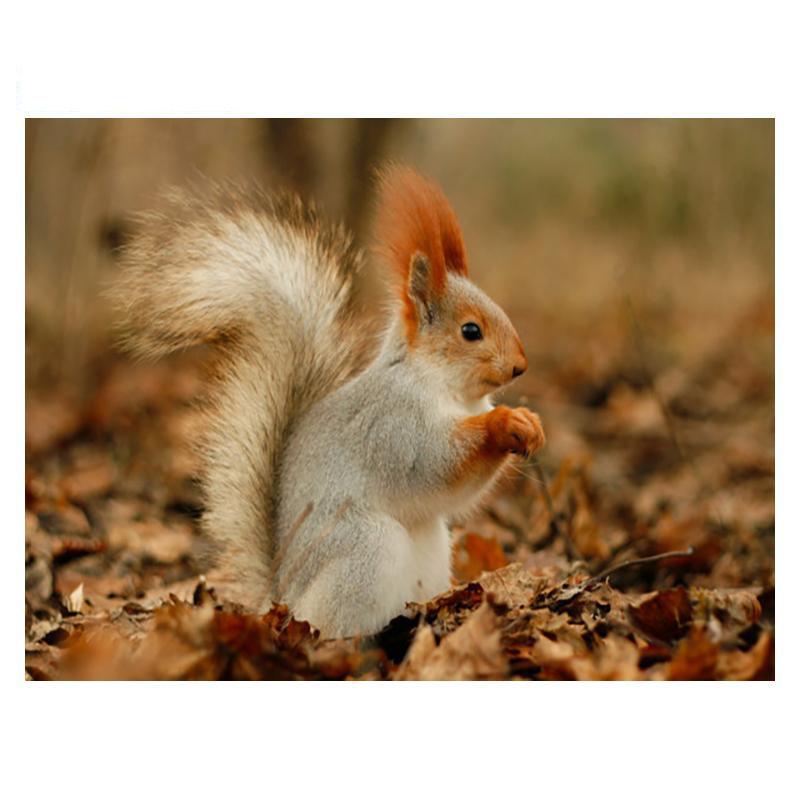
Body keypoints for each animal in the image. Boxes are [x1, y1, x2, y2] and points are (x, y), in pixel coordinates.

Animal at [110, 165, 545, 638]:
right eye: (470, 331)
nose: (521, 365)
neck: (447, 390)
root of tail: (281, 599)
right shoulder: (390, 425)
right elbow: (433, 464)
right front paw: (504, 424)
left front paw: (529, 422)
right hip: (365, 549)